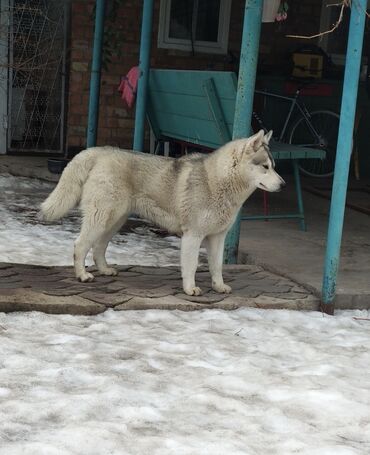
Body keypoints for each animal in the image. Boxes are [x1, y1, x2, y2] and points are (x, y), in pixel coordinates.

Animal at [39, 130, 284, 298]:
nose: (283, 184)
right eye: (264, 167)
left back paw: (105, 270)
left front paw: (218, 286)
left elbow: (217, 266)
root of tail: (100, 151)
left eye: (273, 166)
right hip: (101, 218)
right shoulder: (193, 236)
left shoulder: (217, 237)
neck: (218, 181)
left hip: (114, 221)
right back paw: (82, 275)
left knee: (99, 247)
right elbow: (191, 266)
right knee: (80, 245)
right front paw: (190, 289)